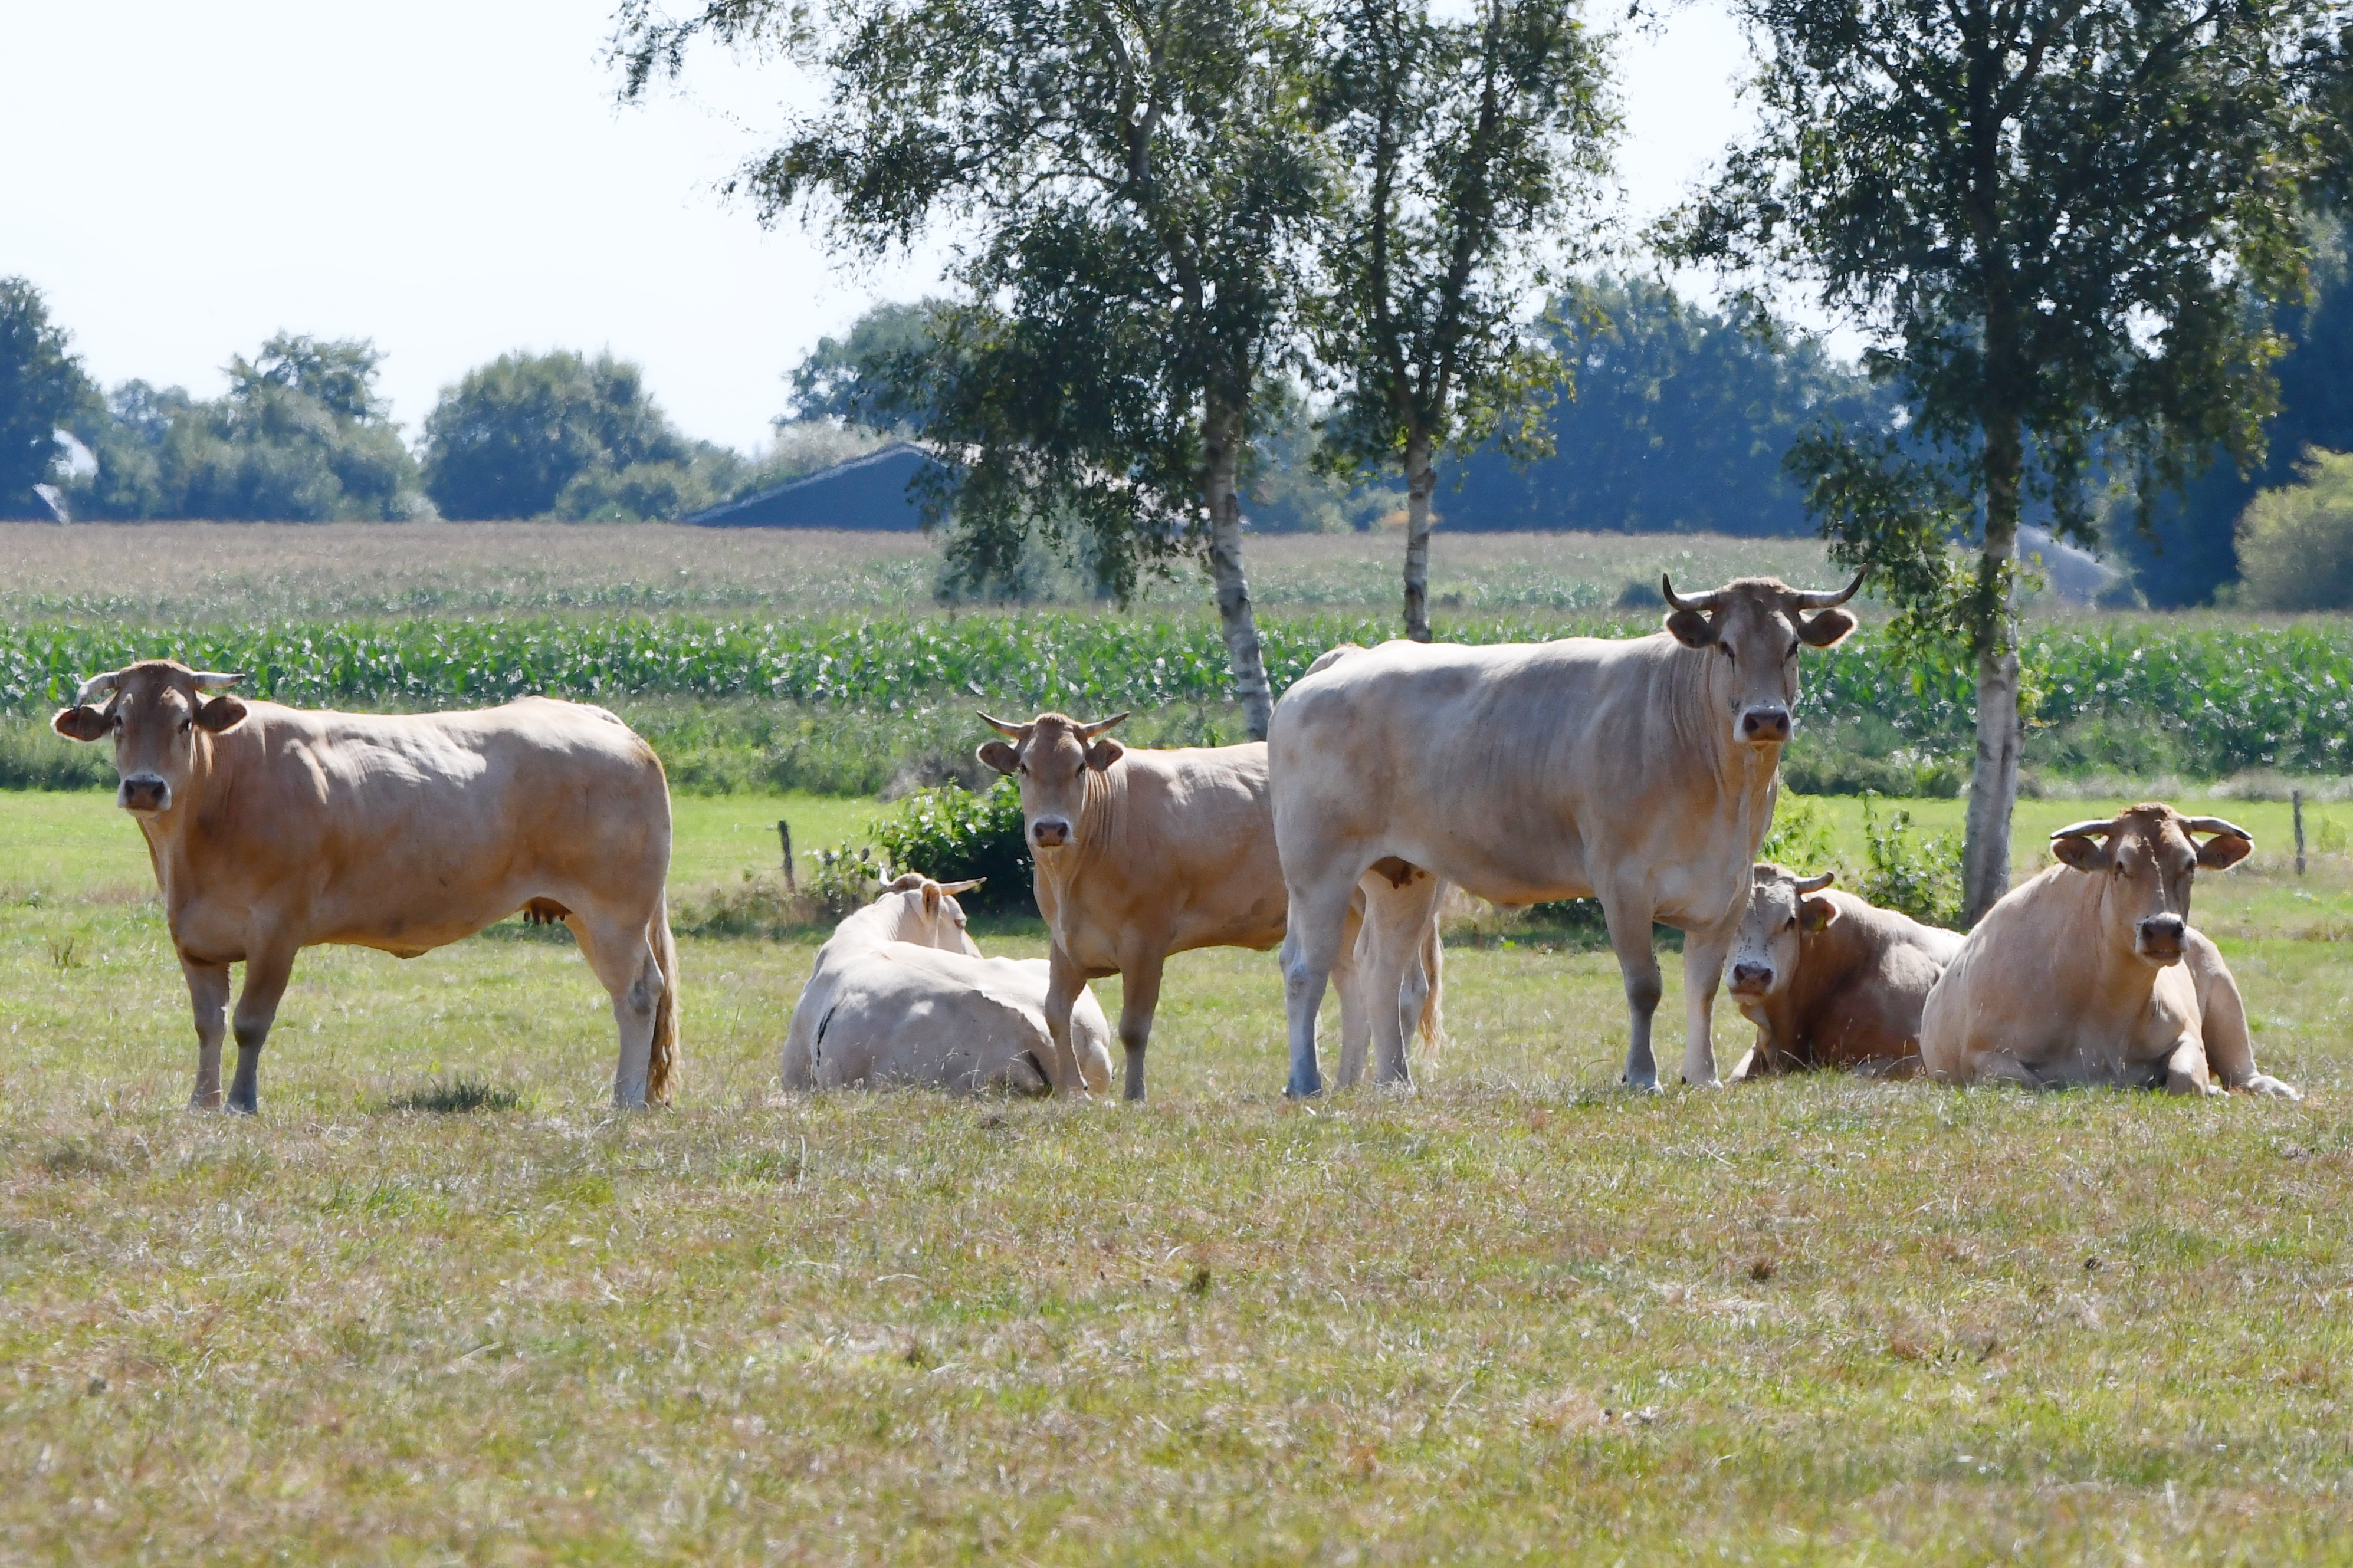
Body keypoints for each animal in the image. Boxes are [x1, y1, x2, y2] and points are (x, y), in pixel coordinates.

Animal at [52, 660, 678, 1113]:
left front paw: (240, 1103)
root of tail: (605, 722)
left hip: (615, 911)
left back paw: (624, 1102)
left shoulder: (277, 930)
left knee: (639, 993)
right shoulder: (193, 937)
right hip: (589, 914)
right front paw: (201, 1104)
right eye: (119, 721)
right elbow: (209, 1024)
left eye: (184, 722)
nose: (145, 787)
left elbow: (250, 1023)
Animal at [975, 711, 1441, 1101]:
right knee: (1352, 987)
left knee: (1404, 988)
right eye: (1024, 768)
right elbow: (1056, 1014)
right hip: (1337, 909)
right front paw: (1076, 1093)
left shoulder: (1145, 943)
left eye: (1079, 767)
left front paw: (1134, 1096)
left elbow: (1133, 1026)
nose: (1051, 828)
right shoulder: (1065, 943)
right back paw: (1346, 1082)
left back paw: (1389, 1080)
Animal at [1269, 572, 1863, 1097]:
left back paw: (1395, 1081)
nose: (1766, 719)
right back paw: (1305, 1081)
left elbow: (1703, 987)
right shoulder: (1623, 882)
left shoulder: (1728, 888)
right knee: (1305, 969)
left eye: (1791, 646)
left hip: (1404, 874)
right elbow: (1644, 985)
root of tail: (1344, 660)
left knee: (1382, 971)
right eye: (1725, 646)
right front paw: (1642, 1075)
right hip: (1316, 871)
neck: (1721, 786)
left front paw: (1703, 1075)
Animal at [1919, 804, 2299, 1097]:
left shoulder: (2188, 1036)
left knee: (2243, 1072)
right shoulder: (1982, 1056)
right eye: (2120, 864)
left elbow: (2186, 1078)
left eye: (2190, 864)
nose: (2163, 930)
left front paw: (2211, 1089)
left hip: (2224, 988)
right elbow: (2029, 1082)